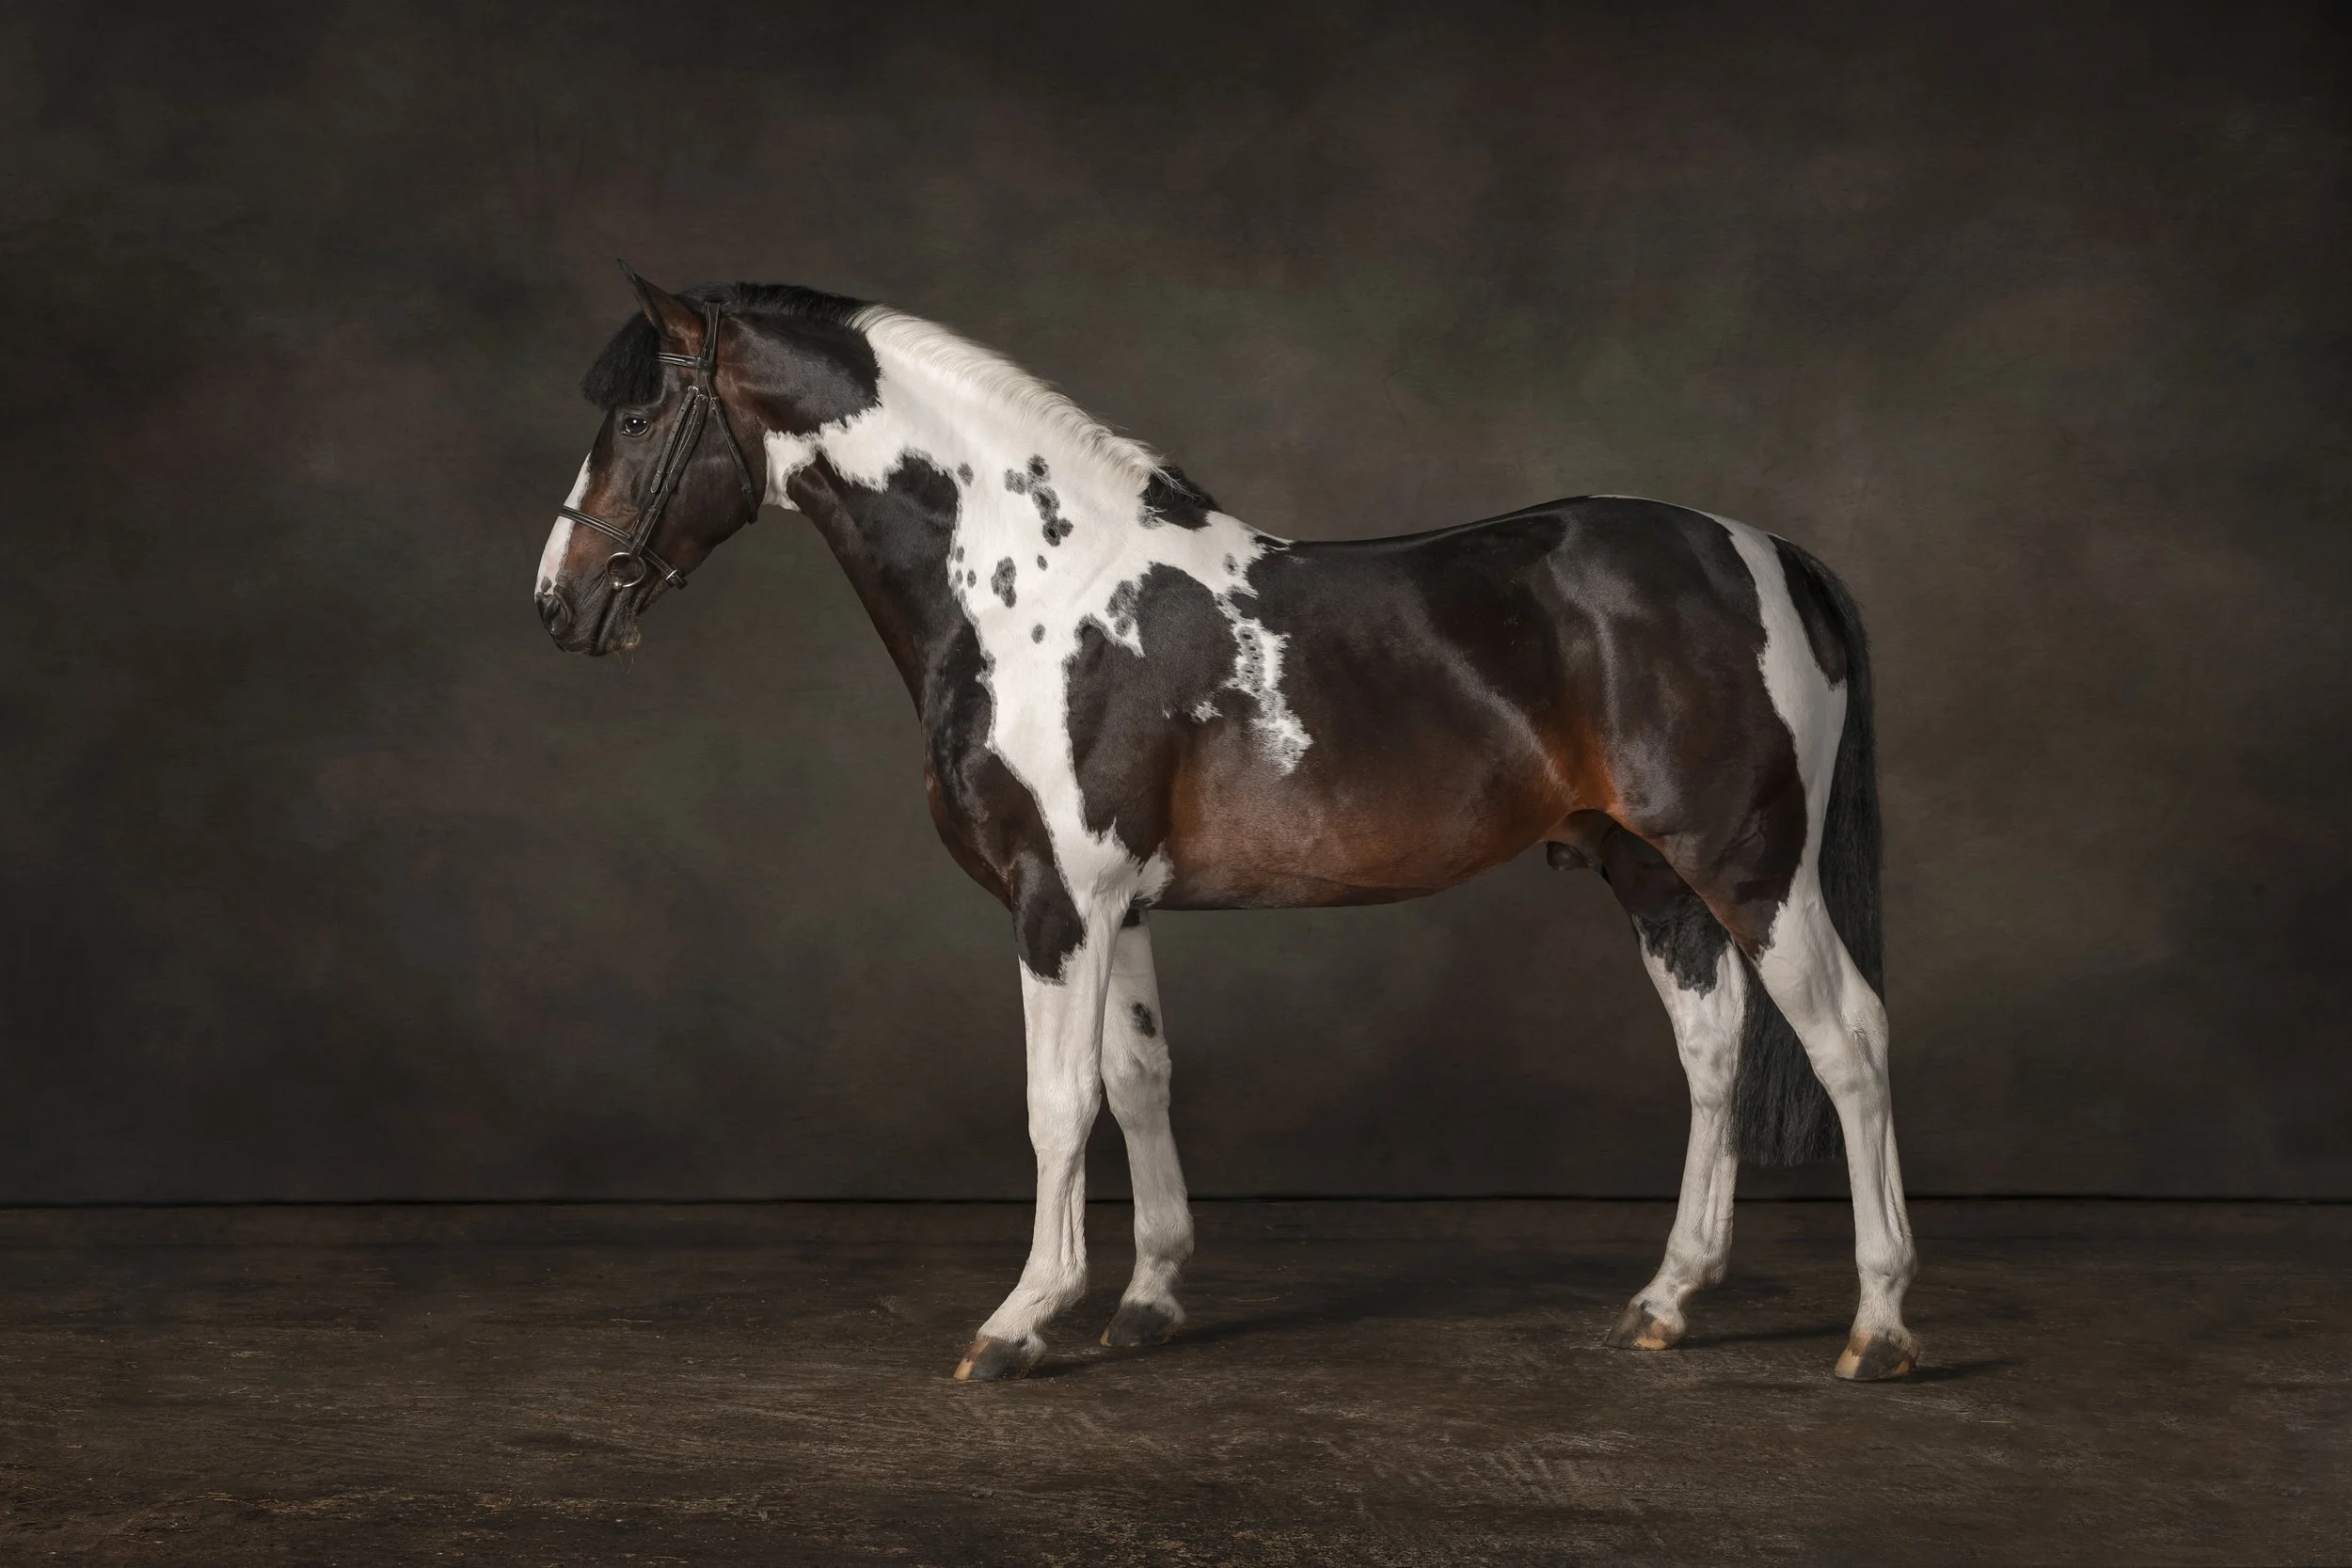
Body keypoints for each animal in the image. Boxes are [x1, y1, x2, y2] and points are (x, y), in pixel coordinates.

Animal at [533, 266, 1920, 1384]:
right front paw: (1147, 1299)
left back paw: (1880, 1325)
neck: (1039, 586)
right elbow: (1139, 1079)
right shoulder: (1120, 903)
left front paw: (1021, 1318)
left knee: (1848, 1038)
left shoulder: (1057, 901)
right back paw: (1668, 1300)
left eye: (641, 415)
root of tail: (1764, 550)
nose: (561, 602)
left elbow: (1057, 1100)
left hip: (1753, 865)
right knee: (1713, 1052)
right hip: (1655, 874)